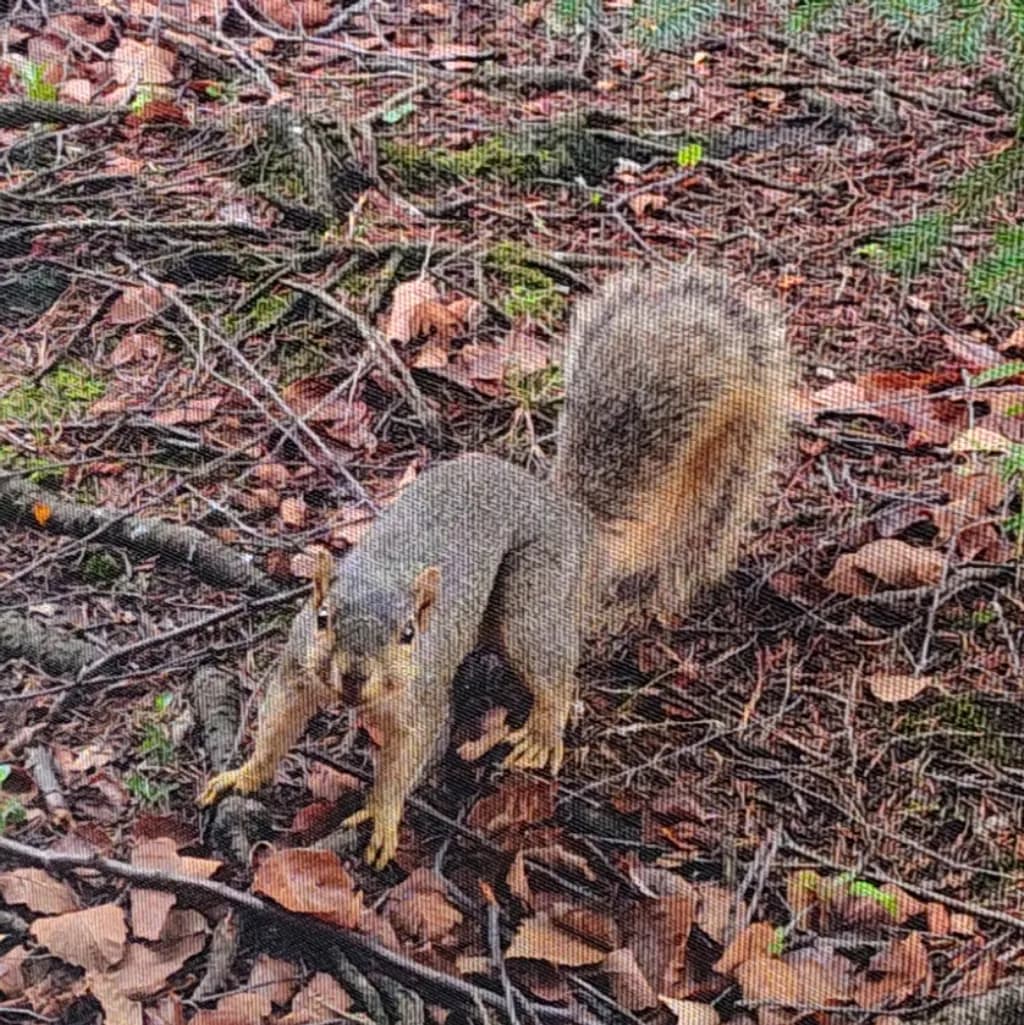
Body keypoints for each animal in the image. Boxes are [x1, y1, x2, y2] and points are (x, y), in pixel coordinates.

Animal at [198, 263, 792, 869]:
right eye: (322, 618)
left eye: (410, 633)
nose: (355, 677)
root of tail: (567, 513)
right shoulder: (298, 667)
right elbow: (277, 724)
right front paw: (244, 775)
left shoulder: (422, 704)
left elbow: (407, 759)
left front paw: (382, 816)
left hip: (533, 595)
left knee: (554, 673)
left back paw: (542, 733)